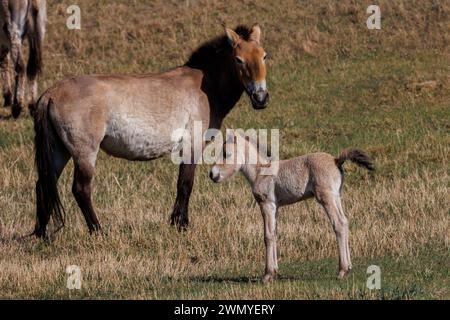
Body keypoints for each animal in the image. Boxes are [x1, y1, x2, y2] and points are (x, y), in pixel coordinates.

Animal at [32, 23, 270, 238]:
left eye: (264, 56)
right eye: (238, 59)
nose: (261, 98)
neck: (205, 87)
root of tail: (51, 94)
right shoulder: (192, 146)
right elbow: (185, 185)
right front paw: (181, 225)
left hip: (59, 151)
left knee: (43, 185)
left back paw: (40, 234)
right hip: (84, 153)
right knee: (81, 189)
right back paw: (98, 231)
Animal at [209, 134, 374, 282]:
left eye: (226, 153)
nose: (212, 174)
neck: (261, 171)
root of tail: (336, 160)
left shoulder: (267, 204)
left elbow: (267, 236)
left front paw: (267, 275)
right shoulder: (276, 207)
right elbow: (275, 233)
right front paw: (274, 272)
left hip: (326, 198)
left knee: (338, 224)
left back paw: (342, 271)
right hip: (336, 197)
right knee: (345, 222)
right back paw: (348, 268)